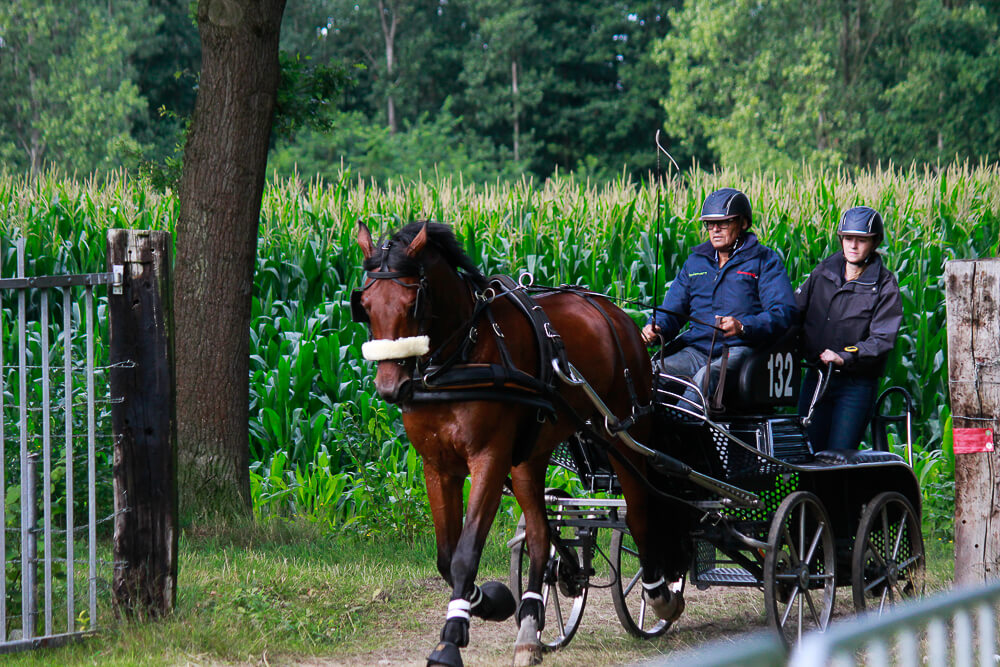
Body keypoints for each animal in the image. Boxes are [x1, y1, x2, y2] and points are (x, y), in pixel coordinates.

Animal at [352, 223, 688, 667]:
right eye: (366, 304)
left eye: (412, 302)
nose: (390, 387)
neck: (462, 355)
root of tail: (618, 315)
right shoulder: (438, 467)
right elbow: (446, 556)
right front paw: (494, 601)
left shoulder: (490, 460)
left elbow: (465, 553)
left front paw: (452, 636)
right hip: (532, 455)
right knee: (542, 532)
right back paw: (533, 620)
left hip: (626, 433)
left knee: (639, 510)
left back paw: (659, 593)